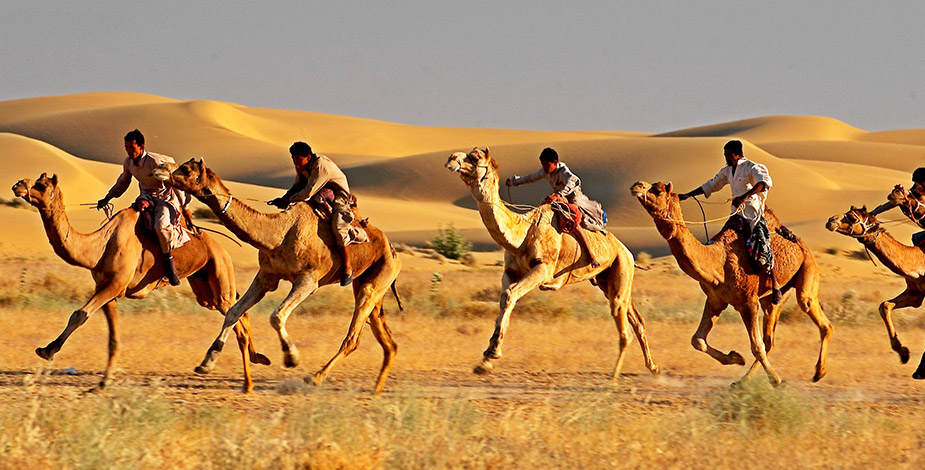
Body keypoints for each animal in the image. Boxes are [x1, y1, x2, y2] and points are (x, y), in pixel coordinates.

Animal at [11, 173, 270, 392]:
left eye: (42, 185)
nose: (18, 184)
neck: (100, 245)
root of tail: (220, 248)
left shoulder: (115, 285)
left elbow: (79, 314)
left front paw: (48, 350)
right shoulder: (107, 289)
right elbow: (113, 338)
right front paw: (103, 383)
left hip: (220, 273)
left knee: (236, 316)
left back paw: (233, 377)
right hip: (205, 290)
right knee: (238, 312)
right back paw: (253, 364)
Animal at [161, 159, 402, 395]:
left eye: (187, 169)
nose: (162, 170)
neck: (279, 233)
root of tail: (392, 249)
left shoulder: (308, 280)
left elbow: (276, 316)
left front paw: (291, 357)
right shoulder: (266, 276)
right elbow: (233, 312)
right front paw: (207, 362)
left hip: (379, 276)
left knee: (353, 337)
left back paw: (315, 378)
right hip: (369, 284)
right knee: (386, 338)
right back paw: (376, 389)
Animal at [444, 148, 659, 381]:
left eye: (474, 157)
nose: (451, 159)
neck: (523, 234)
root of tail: (627, 251)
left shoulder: (543, 269)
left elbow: (511, 294)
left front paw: (491, 353)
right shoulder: (510, 272)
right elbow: (505, 299)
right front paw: (485, 362)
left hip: (622, 267)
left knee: (623, 321)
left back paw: (614, 376)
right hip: (606, 280)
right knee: (636, 319)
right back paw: (653, 367)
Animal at [631, 180, 833, 385]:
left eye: (657, 190)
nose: (636, 185)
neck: (718, 262)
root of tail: (800, 243)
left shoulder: (748, 302)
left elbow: (756, 346)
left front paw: (776, 380)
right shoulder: (716, 300)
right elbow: (698, 340)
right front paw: (736, 357)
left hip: (807, 269)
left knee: (815, 314)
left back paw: (819, 372)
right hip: (775, 295)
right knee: (770, 339)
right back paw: (743, 381)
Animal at [825, 205, 925, 378]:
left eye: (852, 217)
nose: (831, 221)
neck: (918, 261)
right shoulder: (915, 294)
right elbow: (884, 305)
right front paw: (903, 353)